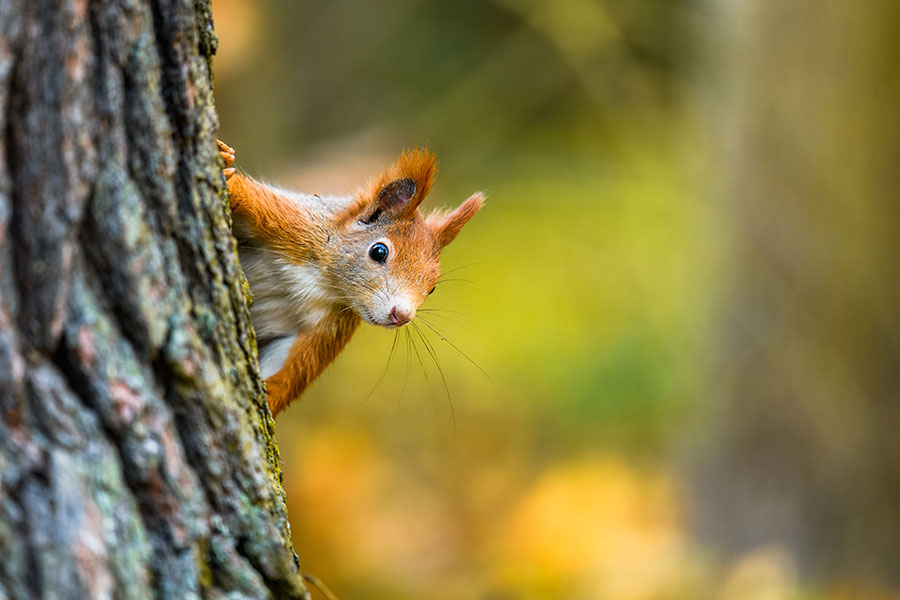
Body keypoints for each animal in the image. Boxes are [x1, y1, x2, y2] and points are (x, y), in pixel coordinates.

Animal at [218, 139, 486, 418]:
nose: (402, 315)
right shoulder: (289, 223)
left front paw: (267, 402)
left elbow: (293, 370)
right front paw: (225, 163)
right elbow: (248, 196)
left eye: (432, 288)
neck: (324, 281)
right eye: (379, 251)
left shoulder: (328, 328)